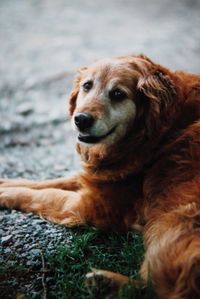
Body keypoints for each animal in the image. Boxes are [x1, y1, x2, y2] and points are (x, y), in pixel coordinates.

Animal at [0, 55, 200, 298]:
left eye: (118, 94)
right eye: (87, 86)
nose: (81, 119)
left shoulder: (93, 206)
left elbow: (43, 195)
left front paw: (5, 193)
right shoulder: (101, 179)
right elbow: (50, 182)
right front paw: (6, 182)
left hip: (174, 221)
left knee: (155, 288)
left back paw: (105, 282)